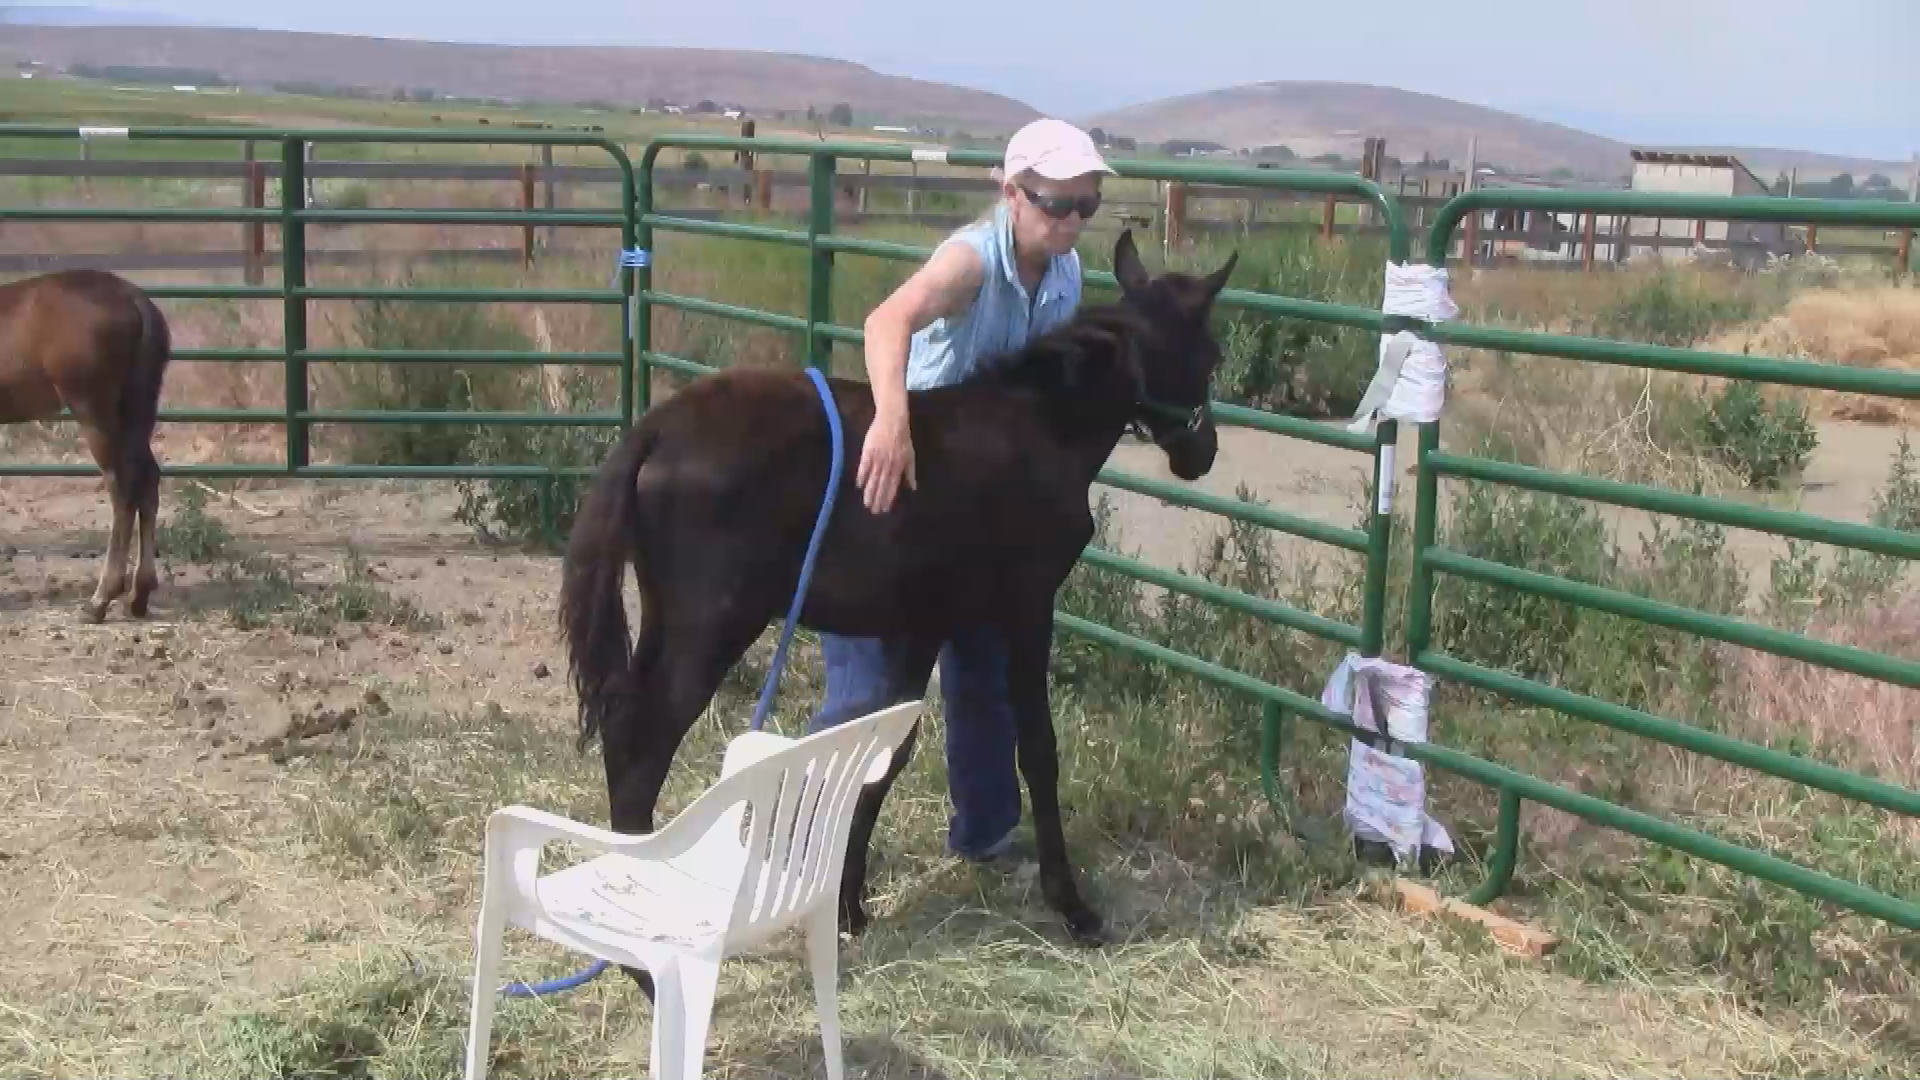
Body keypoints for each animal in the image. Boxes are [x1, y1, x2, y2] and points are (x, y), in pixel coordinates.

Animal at [0, 269, 172, 623]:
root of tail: (133, 297)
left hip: (93, 413)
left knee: (122, 488)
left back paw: (100, 600)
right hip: (134, 414)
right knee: (147, 480)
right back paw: (139, 595)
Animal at [560, 230, 1236, 955]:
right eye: (1211, 353)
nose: (1203, 453)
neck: (1039, 425)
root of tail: (654, 428)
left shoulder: (923, 623)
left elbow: (883, 753)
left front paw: (848, 905)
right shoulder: (1027, 606)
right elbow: (1037, 748)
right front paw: (1073, 906)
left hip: (667, 619)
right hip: (711, 627)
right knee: (641, 739)